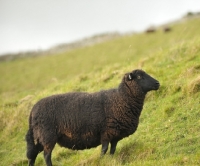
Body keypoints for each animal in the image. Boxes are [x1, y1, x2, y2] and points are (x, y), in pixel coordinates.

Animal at [25, 68, 159, 165]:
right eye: (140, 77)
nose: (158, 83)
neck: (120, 99)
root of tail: (32, 110)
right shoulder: (106, 133)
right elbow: (104, 149)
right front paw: (101, 160)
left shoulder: (115, 135)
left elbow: (112, 150)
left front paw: (110, 160)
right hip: (48, 136)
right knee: (46, 156)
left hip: (39, 137)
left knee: (33, 156)